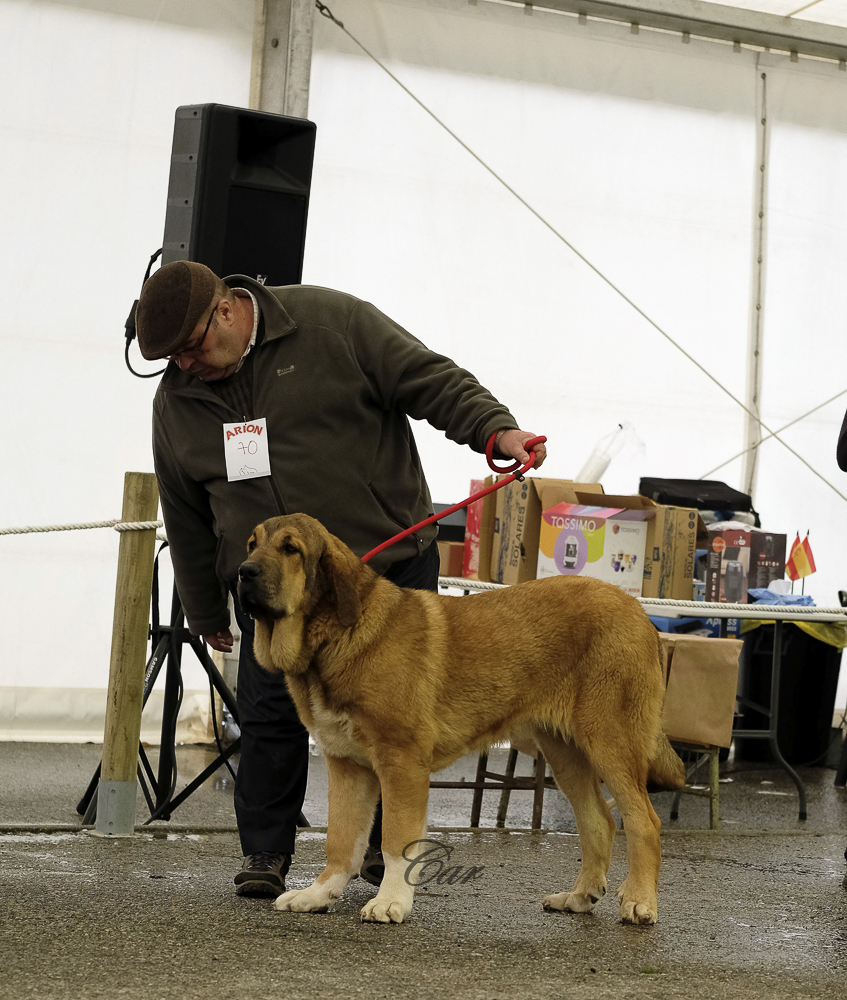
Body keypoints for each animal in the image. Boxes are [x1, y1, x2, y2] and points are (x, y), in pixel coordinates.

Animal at [237, 513, 685, 925]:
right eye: (251, 544)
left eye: (291, 549)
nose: (243, 572)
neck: (333, 636)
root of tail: (638, 611)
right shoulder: (347, 765)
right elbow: (341, 840)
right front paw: (318, 894)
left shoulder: (401, 763)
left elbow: (395, 840)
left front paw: (390, 901)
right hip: (566, 753)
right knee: (599, 823)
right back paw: (578, 896)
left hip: (610, 742)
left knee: (644, 822)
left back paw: (639, 901)